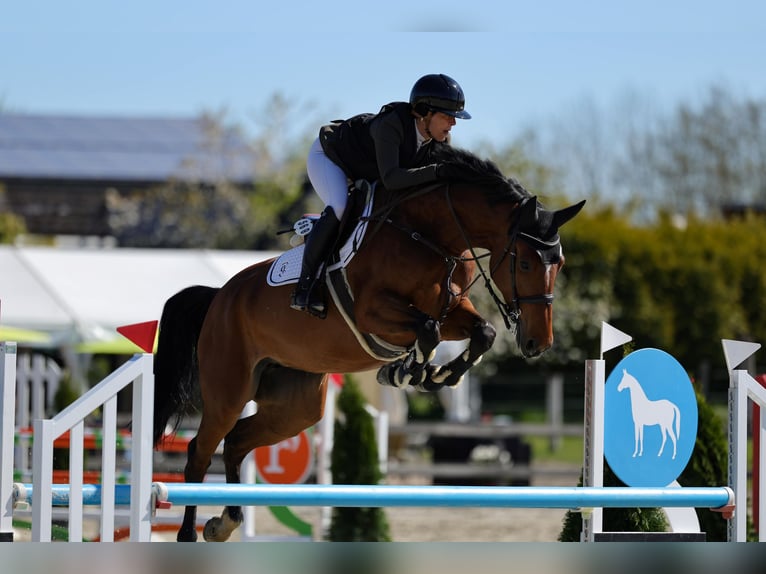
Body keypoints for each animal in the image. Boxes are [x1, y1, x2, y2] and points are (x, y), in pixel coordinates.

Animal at [152, 145, 585, 542]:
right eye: (525, 263)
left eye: (561, 264)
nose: (539, 342)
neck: (431, 236)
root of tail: (219, 297)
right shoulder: (373, 313)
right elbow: (427, 329)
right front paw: (406, 371)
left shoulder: (452, 310)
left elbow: (482, 332)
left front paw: (438, 374)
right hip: (229, 391)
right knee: (199, 452)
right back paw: (189, 532)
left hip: (296, 405)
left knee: (236, 443)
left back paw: (224, 522)